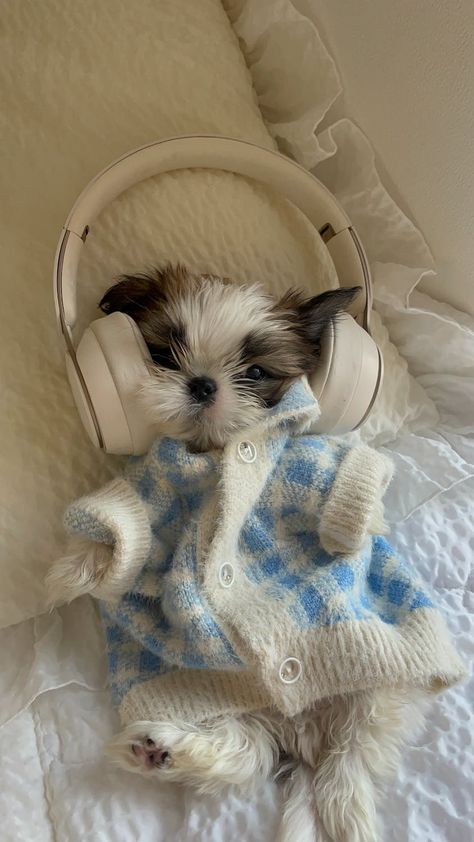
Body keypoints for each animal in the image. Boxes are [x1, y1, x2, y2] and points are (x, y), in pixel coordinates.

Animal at [47, 264, 462, 840]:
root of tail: (306, 735)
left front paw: (358, 527)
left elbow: (347, 479)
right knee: (247, 751)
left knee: (350, 755)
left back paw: (343, 807)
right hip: (225, 704)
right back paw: (160, 750)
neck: (213, 454)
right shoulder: (151, 487)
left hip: (377, 688)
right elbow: (124, 525)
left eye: (257, 372)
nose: (202, 383)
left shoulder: (302, 463)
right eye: (165, 355)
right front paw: (67, 575)